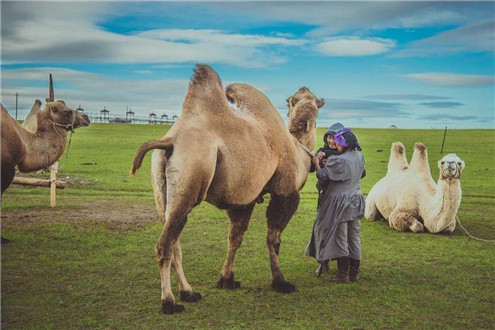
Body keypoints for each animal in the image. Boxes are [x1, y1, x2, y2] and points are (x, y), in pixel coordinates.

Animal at [131, 63, 326, 314]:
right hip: (190, 179)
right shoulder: (285, 192)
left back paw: (189, 293)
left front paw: (226, 280)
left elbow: (235, 237)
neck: (297, 147)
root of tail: (170, 141)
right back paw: (169, 302)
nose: (304, 119)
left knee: (175, 243)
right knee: (165, 245)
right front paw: (280, 282)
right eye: (295, 100)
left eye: (313, 101)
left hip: (161, 190)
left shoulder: (243, 199)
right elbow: (273, 239)